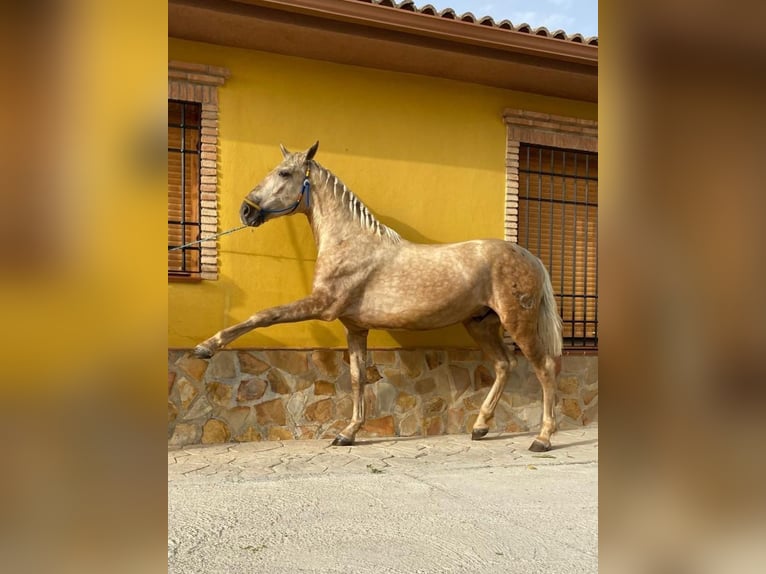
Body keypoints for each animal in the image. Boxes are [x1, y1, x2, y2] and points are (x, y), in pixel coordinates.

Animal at [194, 142, 564, 452]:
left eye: (284, 173)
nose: (246, 211)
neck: (349, 242)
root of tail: (530, 257)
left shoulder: (321, 305)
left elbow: (263, 315)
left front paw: (206, 347)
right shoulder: (355, 327)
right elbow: (358, 378)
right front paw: (347, 433)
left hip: (518, 322)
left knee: (545, 368)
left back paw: (542, 439)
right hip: (480, 324)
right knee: (504, 365)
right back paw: (480, 427)